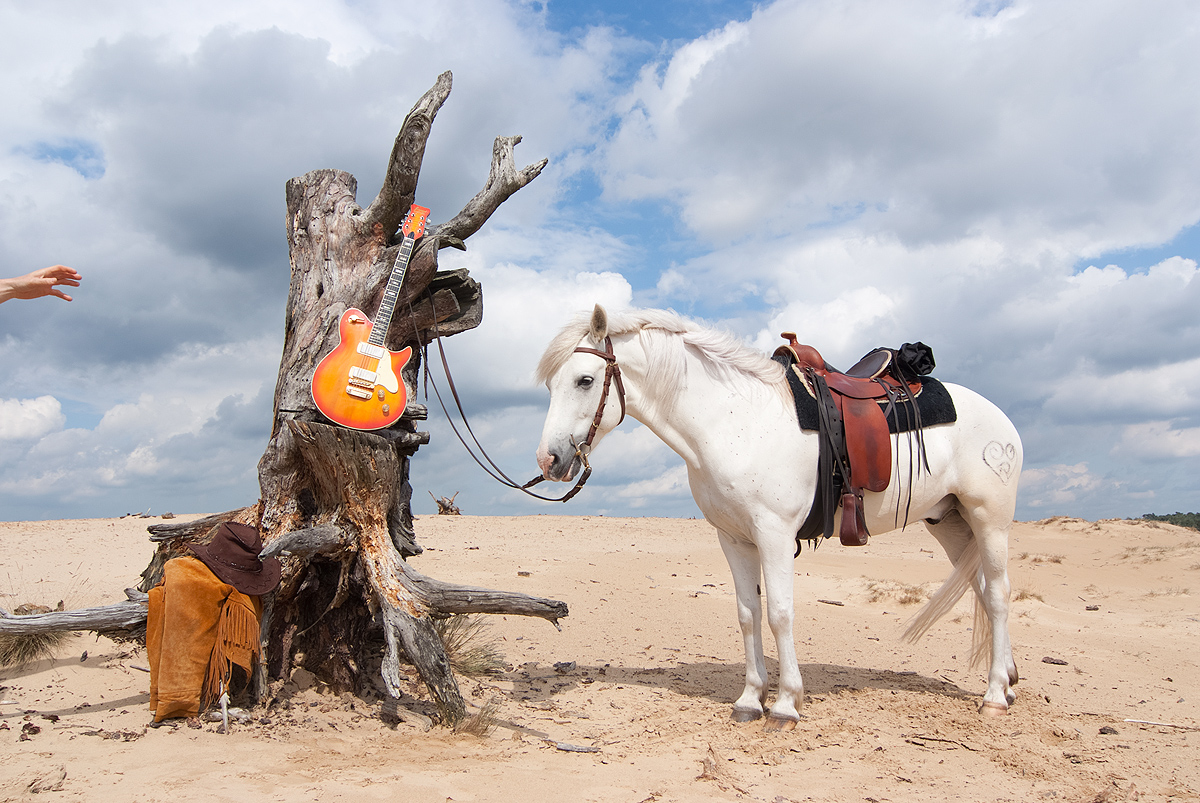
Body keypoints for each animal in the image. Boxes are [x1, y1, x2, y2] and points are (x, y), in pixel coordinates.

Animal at [535, 303, 1022, 729]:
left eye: (584, 380)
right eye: (550, 386)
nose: (548, 460)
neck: (735, 424)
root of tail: (1000, 417)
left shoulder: (774, 534)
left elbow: (780, 613)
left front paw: (787, 703)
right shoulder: (733, 538)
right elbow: (748, 614)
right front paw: (751, 699)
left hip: (990, 520)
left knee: (999, 595)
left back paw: (995, 696)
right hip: (951, 522)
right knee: (982, 591)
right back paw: (1009, 680)